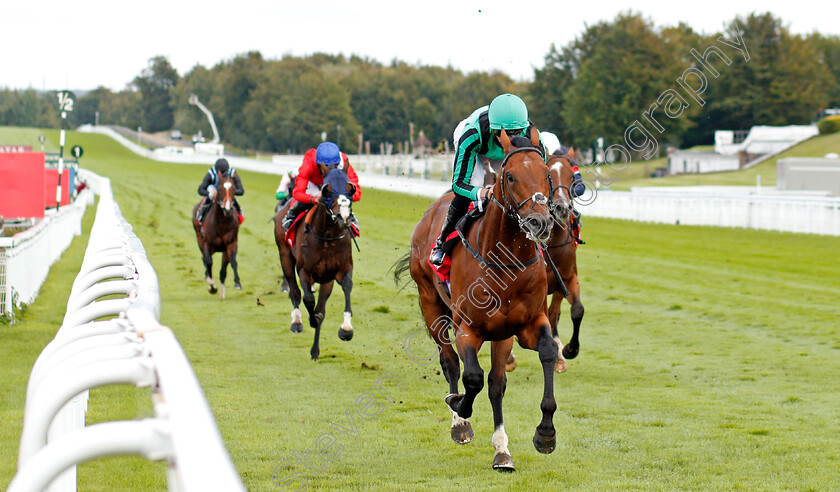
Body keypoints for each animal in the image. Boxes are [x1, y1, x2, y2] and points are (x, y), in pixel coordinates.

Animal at [274, 167, 356, 360]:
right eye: (327, 189)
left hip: (326, 279)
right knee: (295, 292)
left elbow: (346, 287)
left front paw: (346, 329)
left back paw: (315, 351)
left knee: (320, 308)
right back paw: (297, 322)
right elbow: (308, 299)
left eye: (350, 188)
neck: (327, 238)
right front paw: (310, 320)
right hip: (284, 255)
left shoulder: (339, 271)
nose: (344, 217)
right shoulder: (305, 271)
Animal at [392, 129, 556, 470]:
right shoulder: (467, 328)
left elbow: (539, 356)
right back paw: (459, 423)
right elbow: (472, 377)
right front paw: (459, 409)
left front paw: (544, 433)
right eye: (509, 176)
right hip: (431, 304)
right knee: (450, 362)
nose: (539, 222)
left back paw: (502, 449)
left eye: (547, 174)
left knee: (495, 383)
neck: (506, 261)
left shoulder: (523, 326)